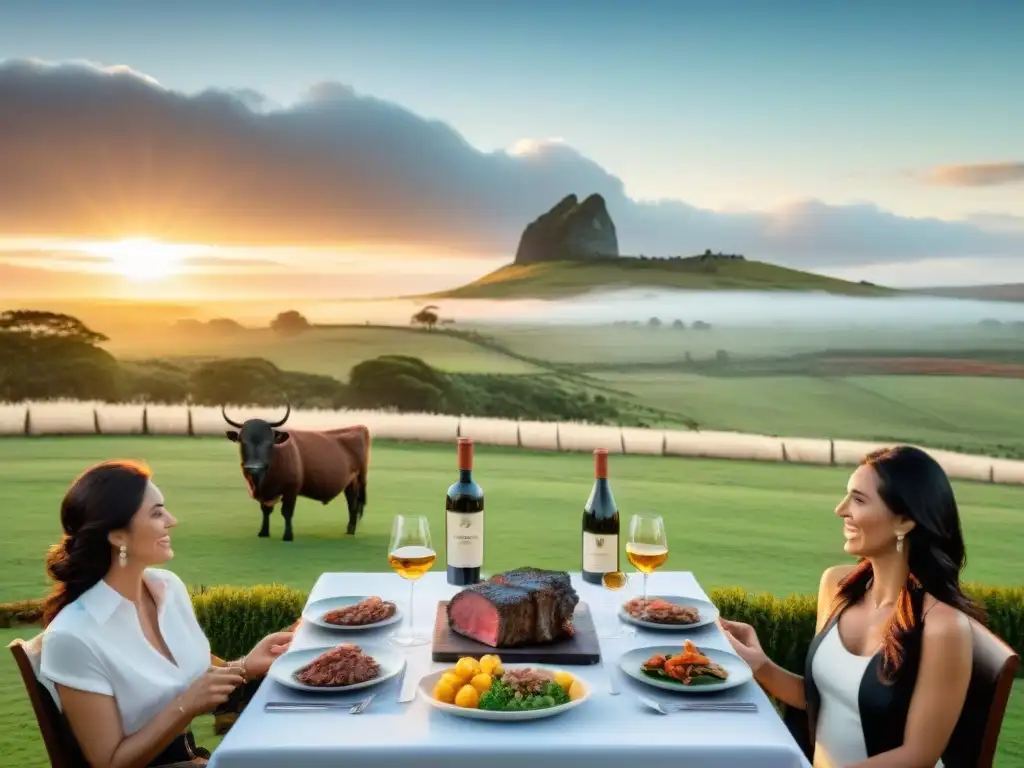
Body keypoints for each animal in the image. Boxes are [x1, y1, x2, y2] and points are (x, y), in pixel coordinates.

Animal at [220, 403, 372, 540]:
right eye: (242, 442)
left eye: (270, 443)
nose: (254, 467)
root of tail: (359, 427)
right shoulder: (265, 493)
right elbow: (266, 510)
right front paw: (263, 533)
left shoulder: (291, 489)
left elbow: (287, 512)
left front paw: (288, 536)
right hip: (350, 483)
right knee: (352, 504)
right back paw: (349, 531)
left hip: (360, 479)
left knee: (355, 505)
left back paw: (351, 532)